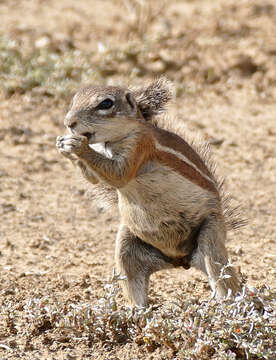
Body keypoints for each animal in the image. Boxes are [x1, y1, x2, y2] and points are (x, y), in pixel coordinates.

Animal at [57, 79, 243, 306]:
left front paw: (78, 146)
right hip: (127, 246)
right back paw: (137, 310)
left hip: (211, 233)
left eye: (106, 103)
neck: (115, 140)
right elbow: (95, 178)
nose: (68, 122)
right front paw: (64, 147)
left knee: (220, 271)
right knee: (133, 280)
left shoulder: (140, 145)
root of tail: (180, 260)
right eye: (74, 99)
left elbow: (119, 175)